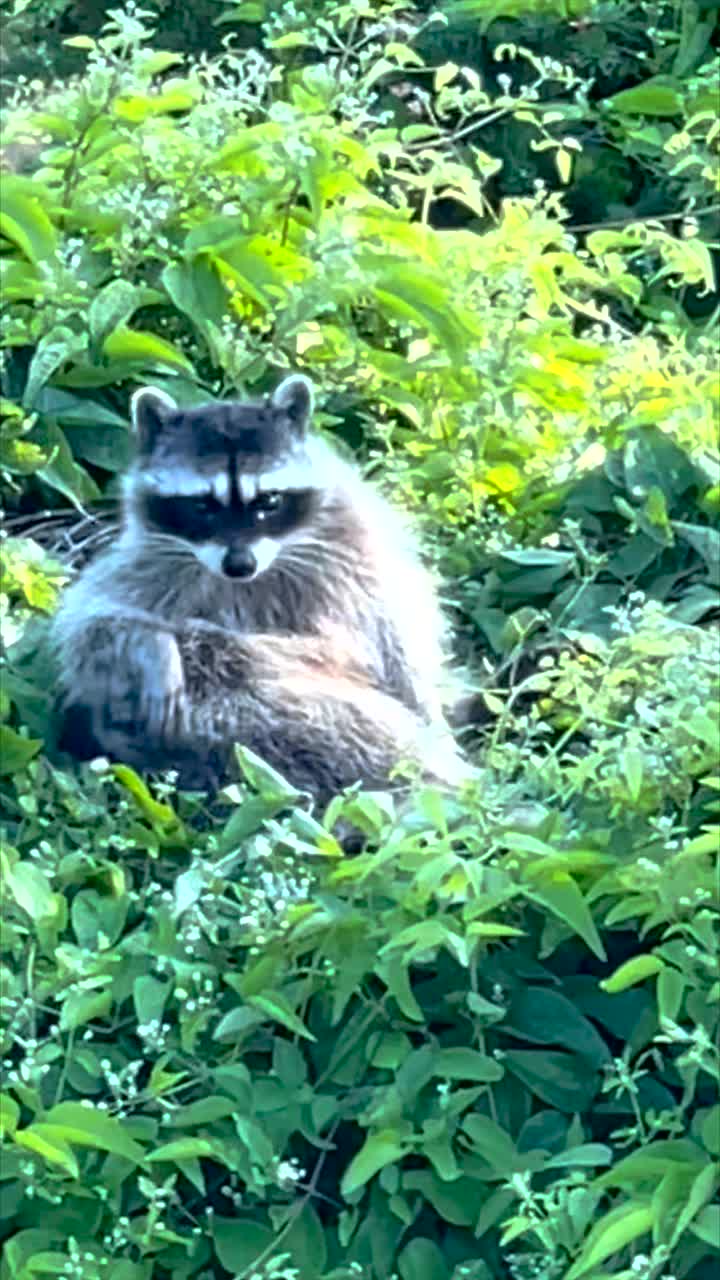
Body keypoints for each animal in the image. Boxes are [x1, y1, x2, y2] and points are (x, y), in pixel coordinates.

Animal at [50, 373, 466, 798]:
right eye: (202, 506)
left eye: (268, 501)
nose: (239, 565)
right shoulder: (150, 560)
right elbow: (89, 625)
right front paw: (149, 642)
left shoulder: (355, 547)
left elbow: (382, 640)